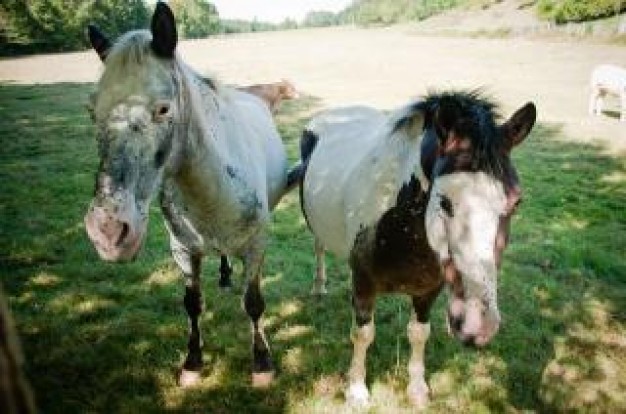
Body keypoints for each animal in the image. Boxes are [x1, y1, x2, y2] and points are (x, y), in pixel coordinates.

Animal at [294, 91, 532, 408]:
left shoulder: (428, 290)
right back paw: (319, 286)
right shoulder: (364, 283)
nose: (477, 326)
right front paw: (357, 391)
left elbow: (419, 334)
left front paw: (417, 389)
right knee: (319, 246)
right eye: (443, 201)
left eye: (516, 202)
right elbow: (362, 335)